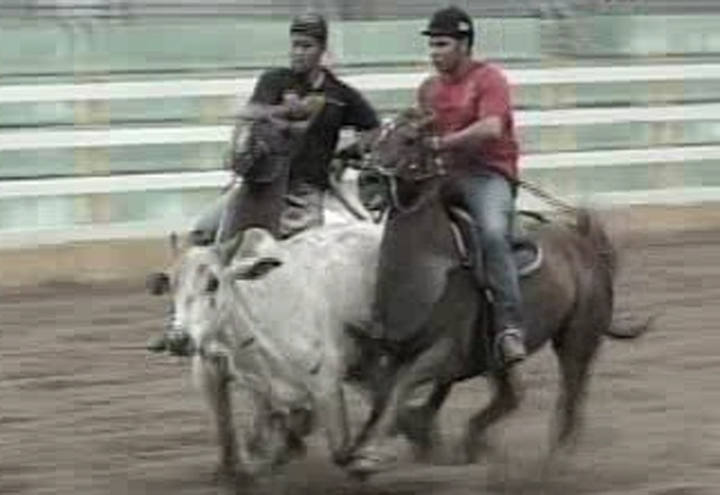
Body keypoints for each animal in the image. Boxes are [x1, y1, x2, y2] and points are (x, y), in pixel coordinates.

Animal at [155, 224, 386, 480]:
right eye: (172, 285)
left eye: (213, 282)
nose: (177, 340)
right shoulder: (246, 385)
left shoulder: (326, 383)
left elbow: (341, 448)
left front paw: (365, 461)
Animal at [344, 109, 648, 476]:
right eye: (373, 141)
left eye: (410, 139)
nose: (369, 180)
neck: (429, 263)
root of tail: (585, 246)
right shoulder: (394, 351)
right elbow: (385, 396)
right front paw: (377, 444)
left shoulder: (442, 352)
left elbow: (402, 389)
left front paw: (370, 455)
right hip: (499, 358)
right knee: (512, 396)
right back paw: (474, 445)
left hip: (577, 340)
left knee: (571, 398)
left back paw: (554, 461)